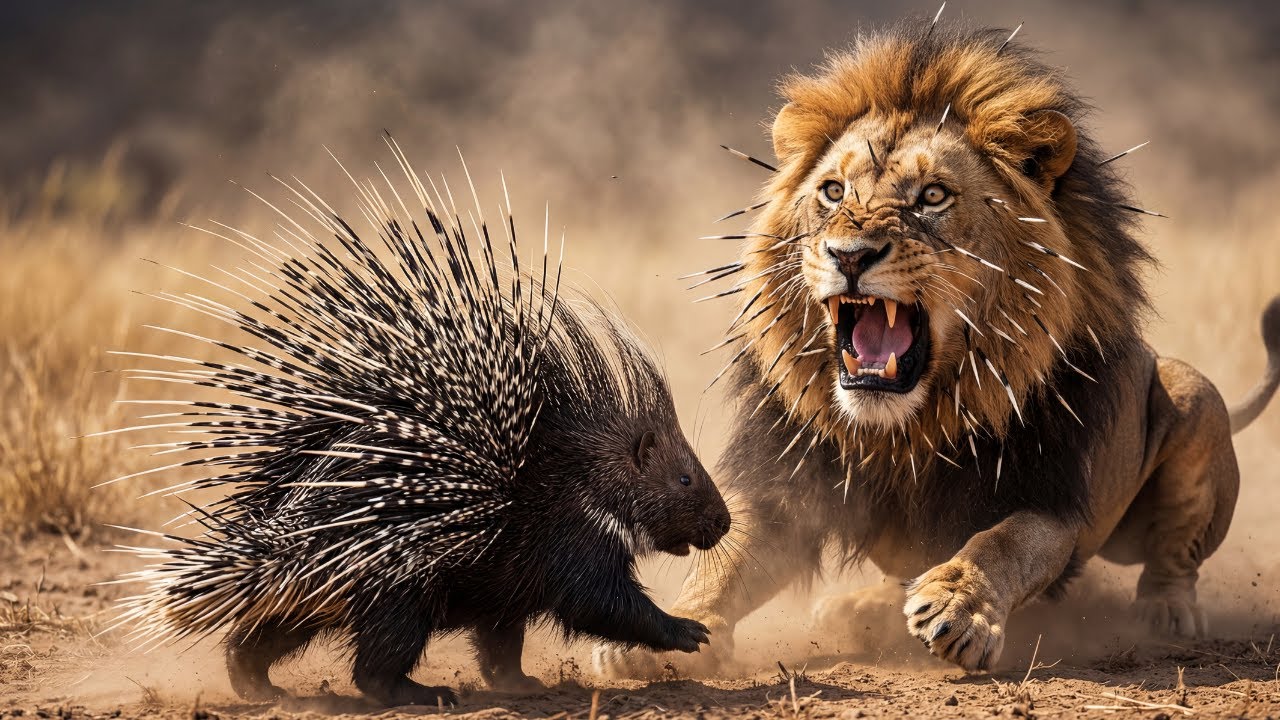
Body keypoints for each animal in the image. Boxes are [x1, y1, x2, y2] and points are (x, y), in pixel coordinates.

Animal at [594, 19, 1280, 675]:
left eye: (932, 196)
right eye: (834, 192)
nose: (849, 255)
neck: (908, 429)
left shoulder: (1053, 497)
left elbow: (1003, 544)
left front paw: (961, 609)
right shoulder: (785, 487)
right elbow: (722, 563)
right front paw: (664, 630)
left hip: (1193, 394)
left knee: (1174, 557)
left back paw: (1163, 612)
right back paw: (856, 610)